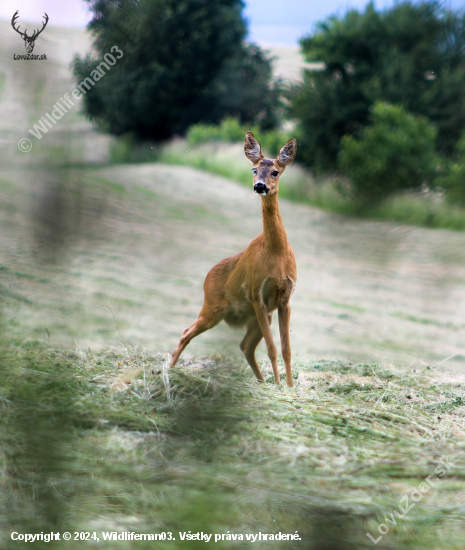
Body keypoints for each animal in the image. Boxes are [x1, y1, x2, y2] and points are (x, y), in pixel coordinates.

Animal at [170, 133, 298, 388]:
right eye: (254, 169)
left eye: (275, 172)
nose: (259, 186)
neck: (276, 255)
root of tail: (206, 278)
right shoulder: (256, 293)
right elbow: (272, 349)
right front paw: (279, 387)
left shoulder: (285, 299)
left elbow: (287, 350)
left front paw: (288, 387)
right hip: (212, 308)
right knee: (186, 332)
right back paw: (168, 371)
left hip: (254, 317)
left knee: (245, 346)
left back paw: (261, 381)